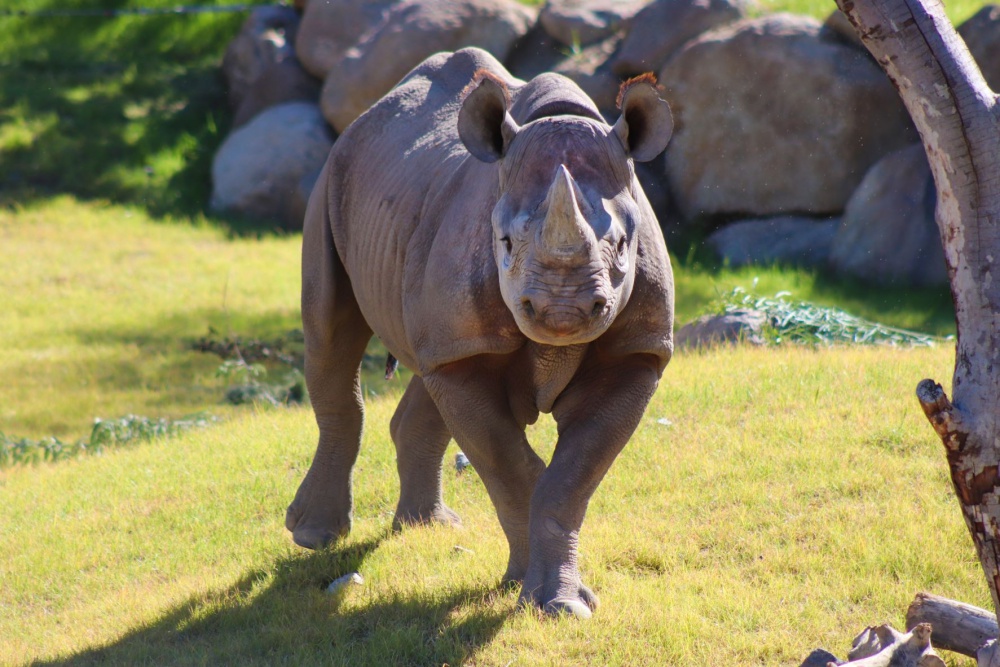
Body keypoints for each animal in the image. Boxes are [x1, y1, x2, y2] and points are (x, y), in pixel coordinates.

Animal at [286, 47, 675, 618]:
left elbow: (569, 480)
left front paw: (561, 604)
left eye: (626, 244)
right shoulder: (467, 347)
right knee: (332, 338)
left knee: (426, 368)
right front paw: (526, 588)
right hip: (332, 180)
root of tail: (365, 118)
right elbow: (511, 468)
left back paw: (427, 527)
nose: (563, 311)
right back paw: (314, 537)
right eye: (505, 243)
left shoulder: (637, 353)